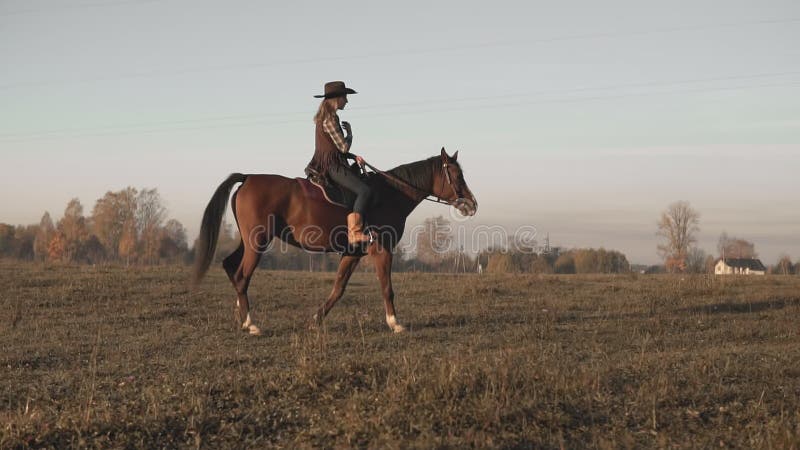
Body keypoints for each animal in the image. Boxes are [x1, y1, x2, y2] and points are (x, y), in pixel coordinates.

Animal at [195, 148, 478, 334]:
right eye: (457, 175)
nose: (472, 204)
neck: (390, 195)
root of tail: (248, 177)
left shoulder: (352, 253)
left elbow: (338, 288)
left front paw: (315, 319)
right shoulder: (382, 250)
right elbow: (386, 287)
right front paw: (394, 323)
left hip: (248, 242)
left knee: (230, 267)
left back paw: (241, 316)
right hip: (257, 243)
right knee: (242, 275)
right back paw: (251, 324)